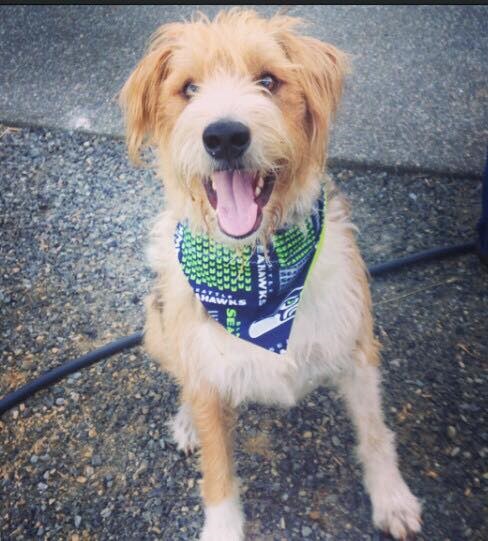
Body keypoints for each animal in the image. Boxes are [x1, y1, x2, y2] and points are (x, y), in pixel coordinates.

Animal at [120, 9, 422, 540]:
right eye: (189, 88)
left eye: (267, 81)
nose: (224, 136)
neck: (258, 268)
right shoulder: (206, 371)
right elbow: (218, 472)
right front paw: (222, 528)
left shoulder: (356, 344)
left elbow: (374, 432)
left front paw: (392, 498)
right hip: (157, 326)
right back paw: (185, 421)